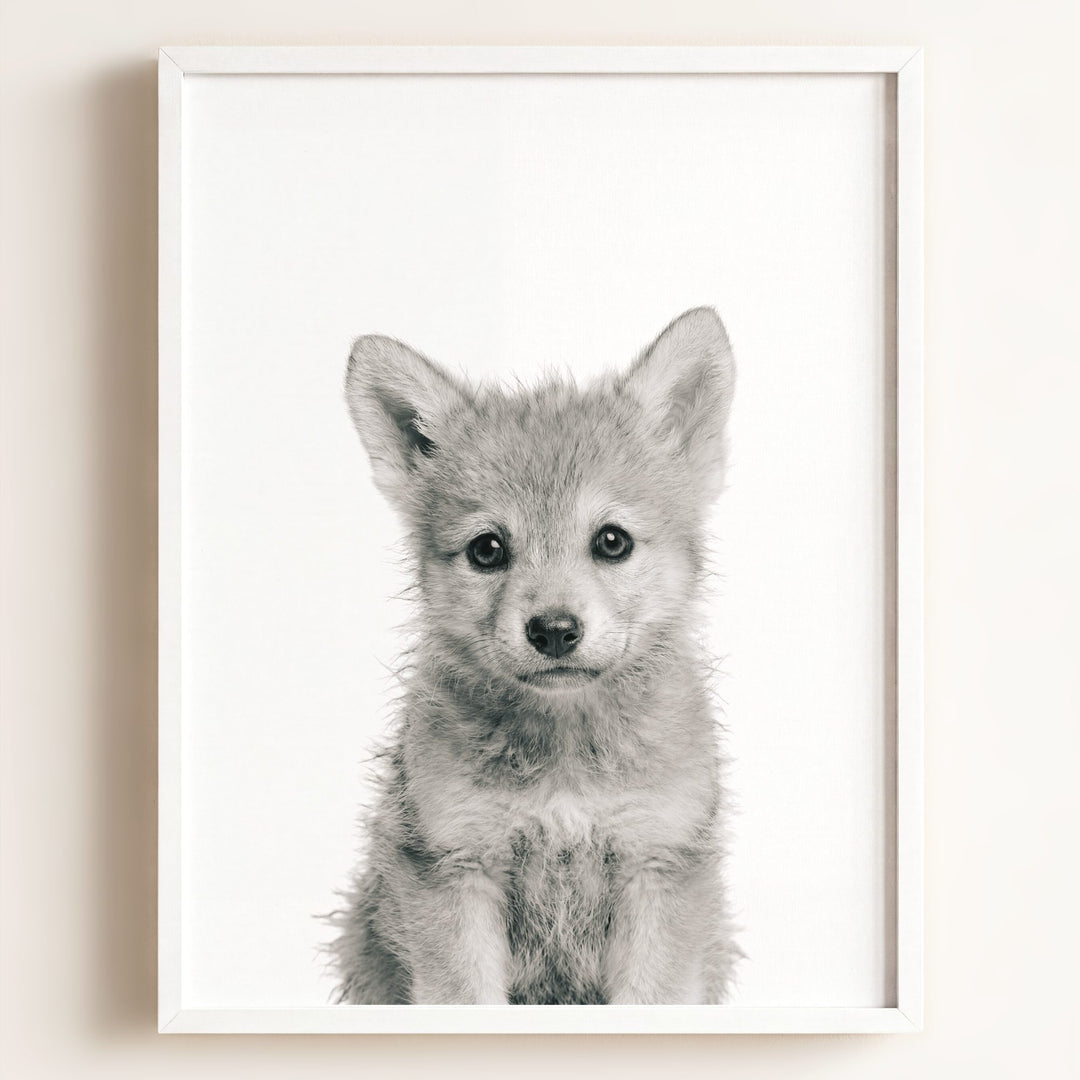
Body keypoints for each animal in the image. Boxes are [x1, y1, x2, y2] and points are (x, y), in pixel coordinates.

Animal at [330, 307, 740, 1005]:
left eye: (611, 541)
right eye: (487, 550)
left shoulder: (657, 864)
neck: (565, 765)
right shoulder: (455, 868)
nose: (553, 631)